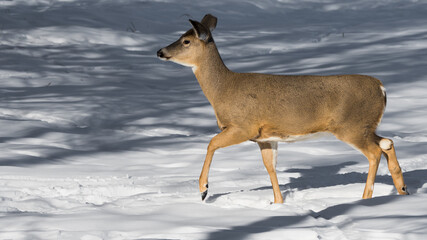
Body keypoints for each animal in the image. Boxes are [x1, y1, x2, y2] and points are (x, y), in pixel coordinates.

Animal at [156, 14, 408, 203]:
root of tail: (381, 87)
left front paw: (203, 189)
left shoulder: (244, 126)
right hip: (365, 126)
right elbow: (270, 167)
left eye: (186, 41)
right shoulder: (265, 137)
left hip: (351, 126)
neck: (224, 90)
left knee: (375, 152)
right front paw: (277, 203)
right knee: (387, 143)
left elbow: (211, 144)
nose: (160, 52)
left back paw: (365, 198)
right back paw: (402, 190)